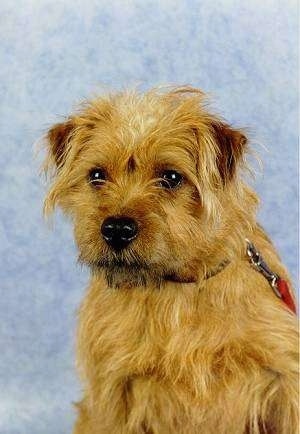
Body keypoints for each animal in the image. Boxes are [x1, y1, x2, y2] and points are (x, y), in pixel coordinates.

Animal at [43, 86, 298, 432]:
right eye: (97, 175)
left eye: (171, 177)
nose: (117, 229)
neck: (179, 286)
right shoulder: (115, 392)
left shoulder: (284, 379)